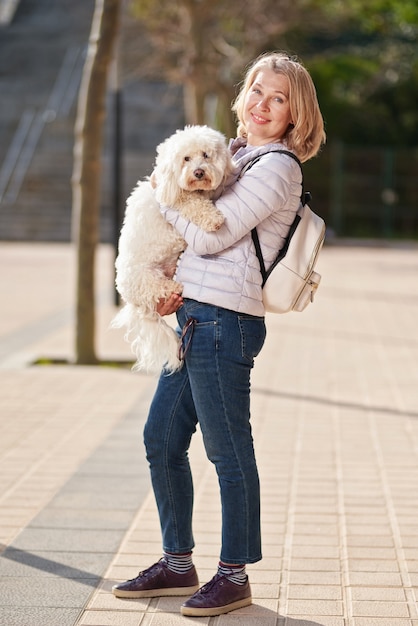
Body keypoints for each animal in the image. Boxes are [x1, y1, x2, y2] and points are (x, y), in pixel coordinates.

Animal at [111, 124, 235, 372]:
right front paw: (213, 219)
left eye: (206, 155)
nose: (198, 172)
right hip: (149, 280)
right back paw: (175, 286)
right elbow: (193, 203)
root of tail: (133, 303)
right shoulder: (177, 198)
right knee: (163, 288)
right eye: (186, 159)